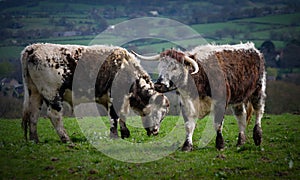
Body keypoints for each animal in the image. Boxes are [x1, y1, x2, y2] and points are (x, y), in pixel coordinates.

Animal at [21, 43, 170, 143]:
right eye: (158, 113)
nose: (155, 132)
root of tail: (34, 47)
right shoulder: (114, 98)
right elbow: (114, 117)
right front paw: (115, 136)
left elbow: (122, 115)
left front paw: (125, 133)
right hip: (52, 93)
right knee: (54, 115)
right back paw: (66, 139)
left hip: (35, 93)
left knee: (33, 115)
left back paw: (35, 140)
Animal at [132, 42, 266, 152]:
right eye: (160, 67)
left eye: (175, 67)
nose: (159, 85)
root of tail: (253, 49)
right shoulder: (186, 104)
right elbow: (189, 125)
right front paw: (187, 146)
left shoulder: (220, 103)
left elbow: (218, 124)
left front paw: (220, 144)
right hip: (238, 99)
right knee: (241, 116)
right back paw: (240, 142)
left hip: (258, 90)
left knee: (259, 111)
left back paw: (258, 137)